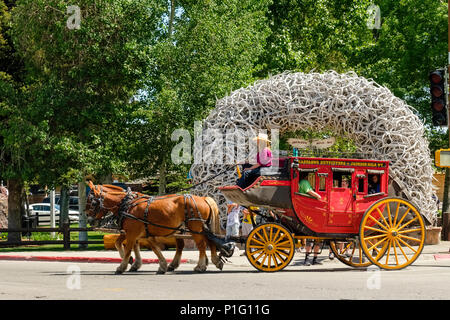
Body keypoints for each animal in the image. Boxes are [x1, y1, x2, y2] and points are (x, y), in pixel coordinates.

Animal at [85, 181, 223, 274]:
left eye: (92, 201)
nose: (89, 220)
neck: (127, 204)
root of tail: (203, 198)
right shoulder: (142, 232)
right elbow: (151, 248)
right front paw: (157, 265)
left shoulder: (131, 232)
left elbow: (128, 247)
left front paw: (123, 265)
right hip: (197, 228)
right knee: (206, 242)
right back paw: (211, 261)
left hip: (195, 227)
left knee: (201, 245)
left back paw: (200, 266)